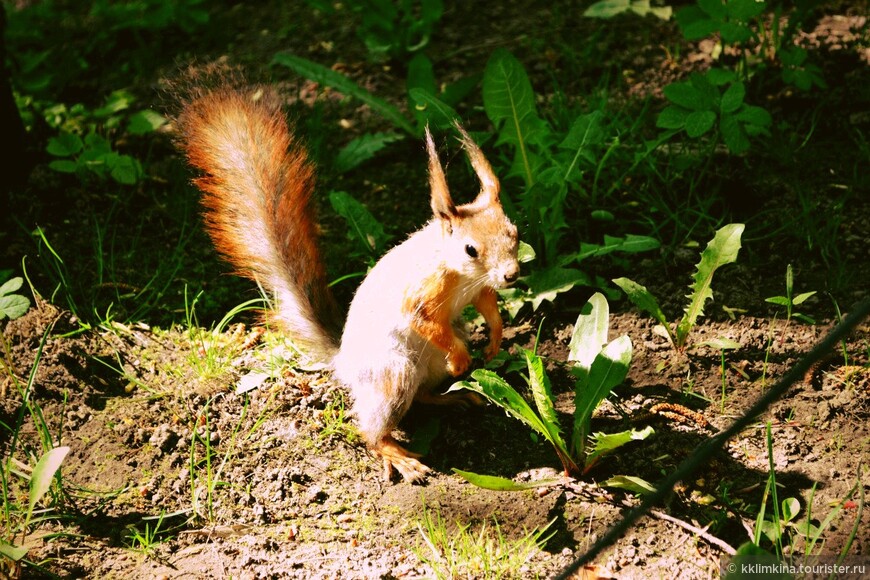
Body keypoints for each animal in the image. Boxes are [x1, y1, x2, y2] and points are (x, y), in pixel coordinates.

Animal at [175, 86, 516, 482]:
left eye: (514, 231)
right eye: (470, 249)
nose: (512, 274)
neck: (461, 275)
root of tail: (345, 364)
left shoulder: (479, 289)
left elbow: (490, 307)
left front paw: (494, 340)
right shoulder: (421, 292)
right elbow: (425, 321)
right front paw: (462, 358)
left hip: (427, 366)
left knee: (422, 397)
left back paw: (453, 397)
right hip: (394, 371)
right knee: (372, 430)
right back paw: (399, 453)